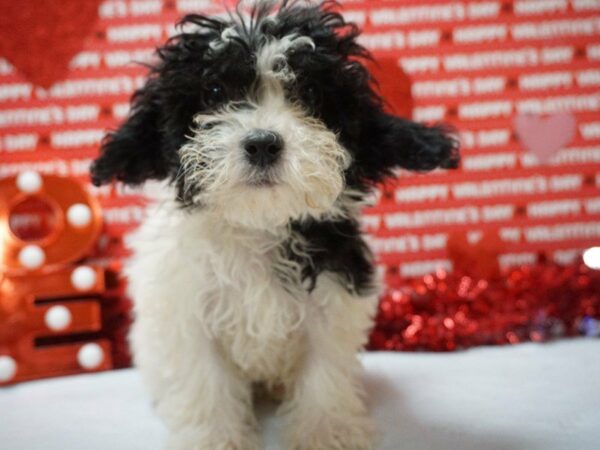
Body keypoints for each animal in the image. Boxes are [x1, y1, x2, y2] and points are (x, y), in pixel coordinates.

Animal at [90, 1, 460, 448]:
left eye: (311, 94)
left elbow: (323, 373)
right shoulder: (187, 307)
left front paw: (325, 434)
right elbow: (207, 380)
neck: (259, 224)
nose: (263, 143)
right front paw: (216, 438)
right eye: (215, 92)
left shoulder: (333, 299)